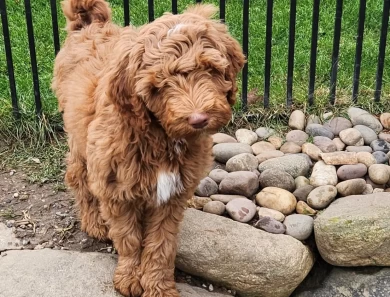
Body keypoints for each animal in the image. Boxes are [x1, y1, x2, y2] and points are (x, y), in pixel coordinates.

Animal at [51, 1, 245, 294]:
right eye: (159, 84)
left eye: (210, 69)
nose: (198, 119)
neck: (160, 136)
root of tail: (89, 24)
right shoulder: (117, 188)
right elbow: (129, 238)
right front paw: (130, 278)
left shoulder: (173, 195)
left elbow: (161, 244)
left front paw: (158, 285)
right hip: (78, 136)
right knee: (78, 177)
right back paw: (94, 223)